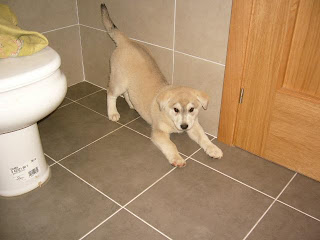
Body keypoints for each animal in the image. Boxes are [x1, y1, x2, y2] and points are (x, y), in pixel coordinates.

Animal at [100, 3, 222, 166]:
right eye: (176, 109)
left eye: (191, 109)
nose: (184, 127)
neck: (170, 118)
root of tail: (127, 41)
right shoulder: (159, 133)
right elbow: (171, 145)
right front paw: (177, 159)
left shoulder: (194, 125)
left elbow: (204, 137)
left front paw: (213, 149)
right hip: (119, 80)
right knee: (111, 93)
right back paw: (113, 113)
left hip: (128, 82)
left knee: (127, 93)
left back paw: (132, 105)